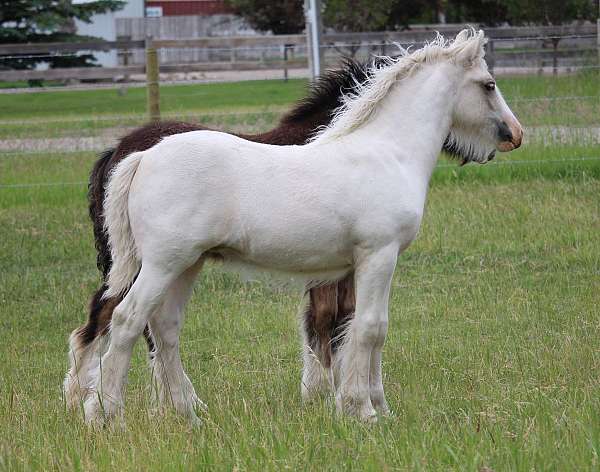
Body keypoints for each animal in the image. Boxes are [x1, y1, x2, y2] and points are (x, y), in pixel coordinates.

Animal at [81, 29, 524, 426]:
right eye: (489, 84)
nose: (516, 134)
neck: (386, 152)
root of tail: (141, 156)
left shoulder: (359, 266)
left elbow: (361, 328)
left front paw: (377, 407)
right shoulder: (378, 255)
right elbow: (369, 329)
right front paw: (362, 411)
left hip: (186, 265)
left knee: (165, 329)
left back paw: (189, 416)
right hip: (162, 265)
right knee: (127, 321)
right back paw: (106, 416)